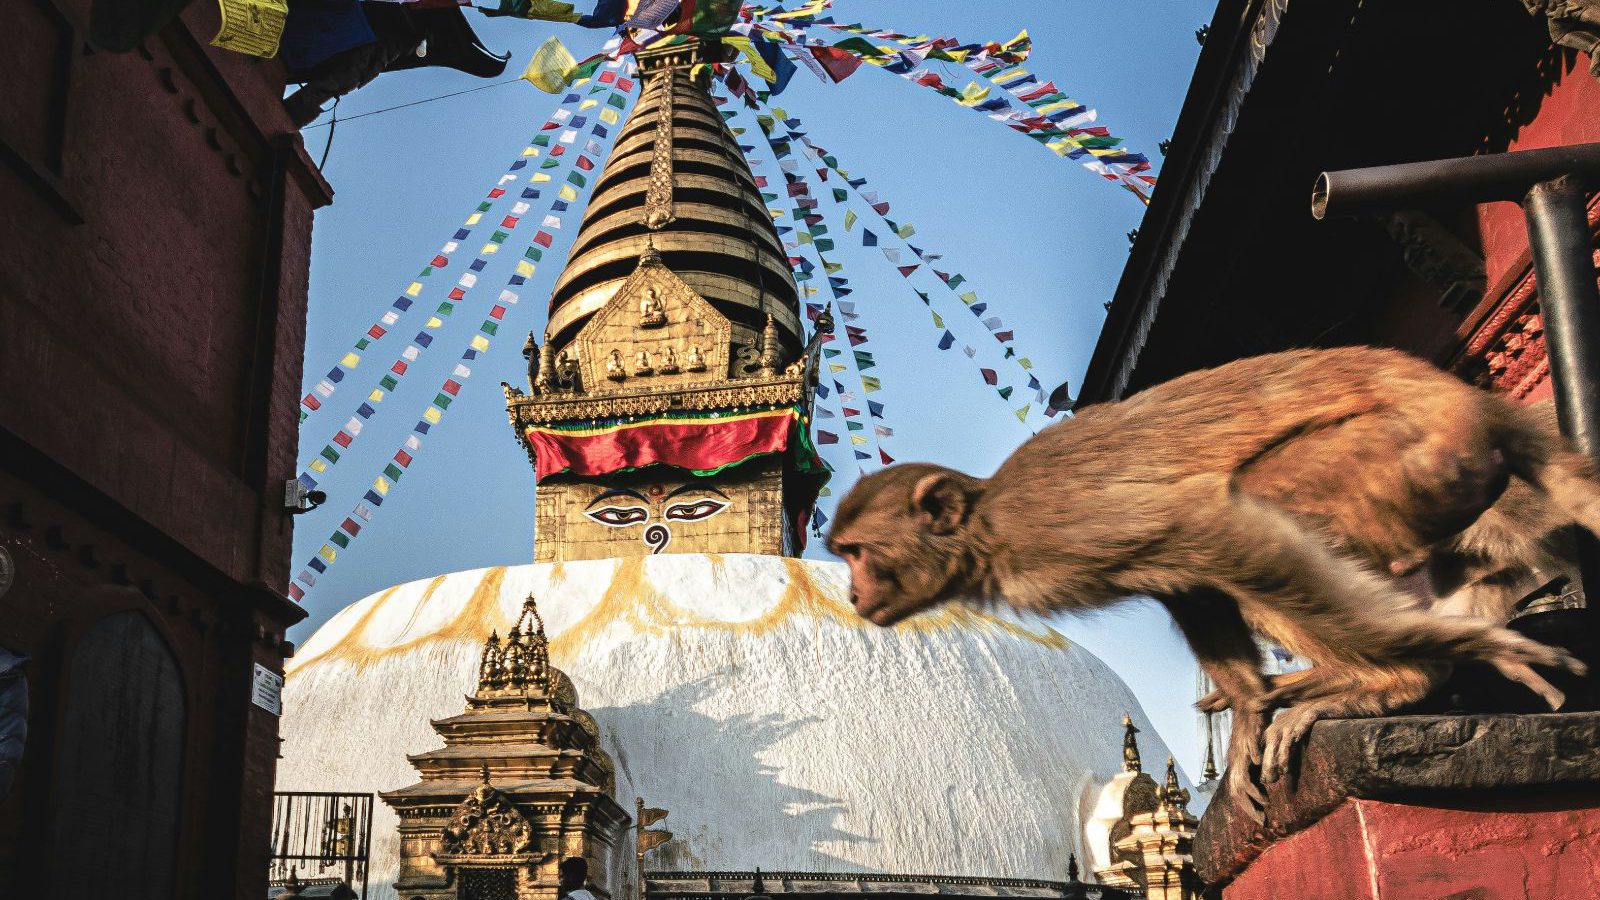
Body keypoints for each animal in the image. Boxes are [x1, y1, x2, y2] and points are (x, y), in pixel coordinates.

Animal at [827, 346, 1590, 818]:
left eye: (859, 552)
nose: (855, 595)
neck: (985, 530)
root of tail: (1475, 401)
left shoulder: (1060, 531)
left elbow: (1211, 524)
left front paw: (1459, 652)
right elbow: (1188, 583)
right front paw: (1251, 710)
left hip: (1416, 452)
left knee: (1263, 501)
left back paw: (1405, 678)